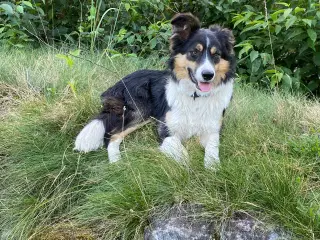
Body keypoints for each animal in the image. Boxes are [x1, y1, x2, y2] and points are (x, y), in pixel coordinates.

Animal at [74, 13, 235, 169]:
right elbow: (182, 152)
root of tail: (119, 83)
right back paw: (116, 162)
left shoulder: (213, 130)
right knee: (112, 136)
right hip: (141, 110)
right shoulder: (166, 130)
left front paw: (212, 169)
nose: (208, 75)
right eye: (194, 52)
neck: (195, 96)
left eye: (216, 55)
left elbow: (213, 151)